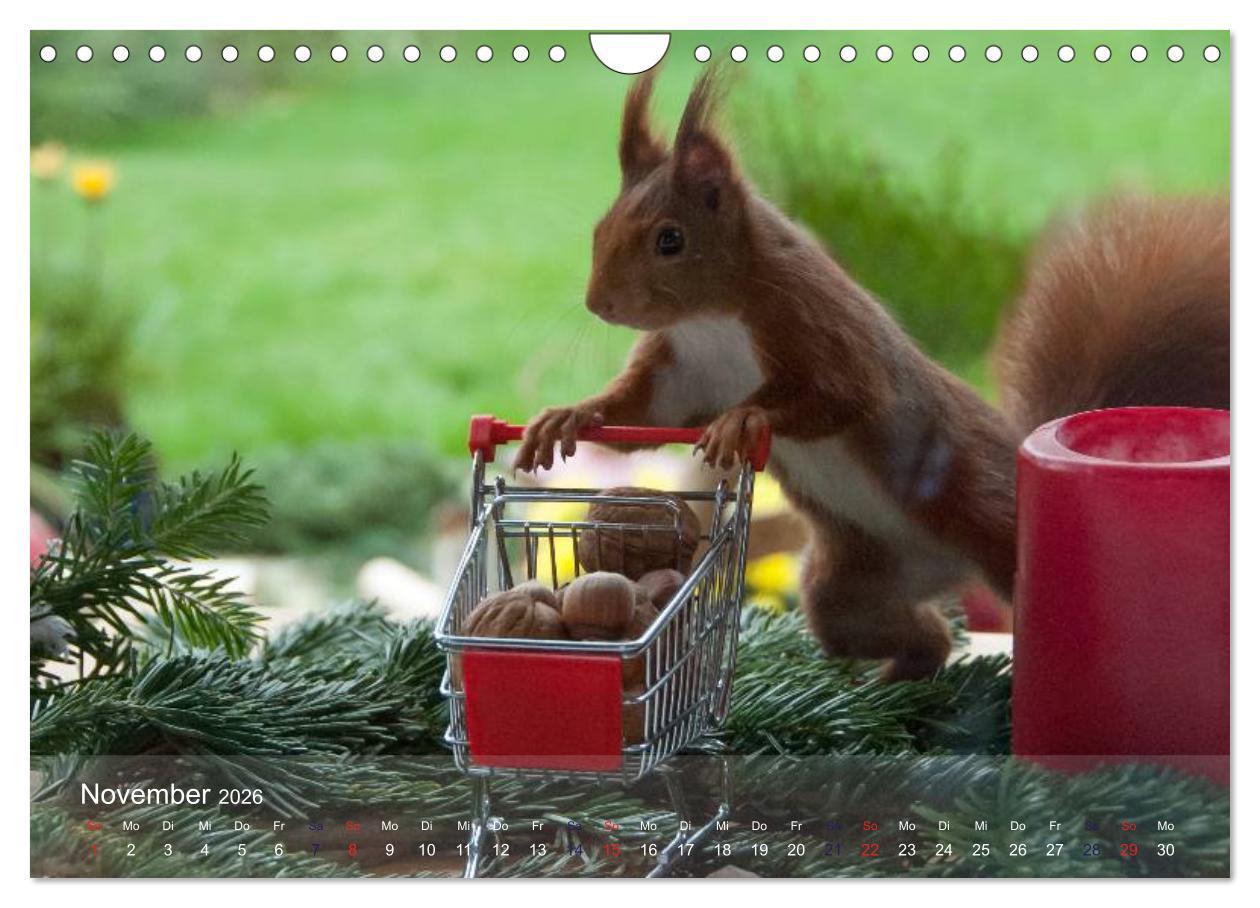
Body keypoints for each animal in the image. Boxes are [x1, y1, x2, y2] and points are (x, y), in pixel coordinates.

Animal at [512, 71, 1230, 681]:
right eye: (600, 228)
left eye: (670, 239)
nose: (600, 305)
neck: (712, 322)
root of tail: (948, 566)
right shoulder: (681, 374)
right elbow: (643, 417)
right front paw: (568, 416)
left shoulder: (821, 330)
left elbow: (845, 395)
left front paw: (747, 418)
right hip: (849, 586)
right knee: (916, 635)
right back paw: (890, 681)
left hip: (991, 517)